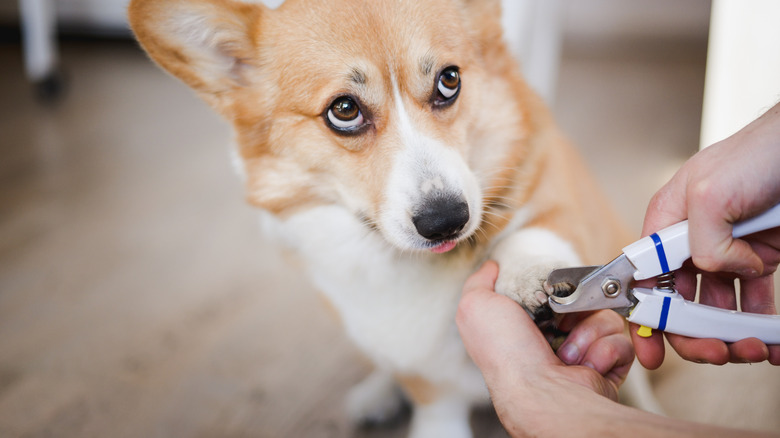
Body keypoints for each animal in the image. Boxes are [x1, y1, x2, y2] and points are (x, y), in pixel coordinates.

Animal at [129, 0, 632, 436]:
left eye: (449, 81)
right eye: (344, 110)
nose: (447, 220)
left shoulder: (558, 193)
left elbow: (537, 229)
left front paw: (528, 274)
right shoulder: (420, 371)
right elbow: (433, 407)